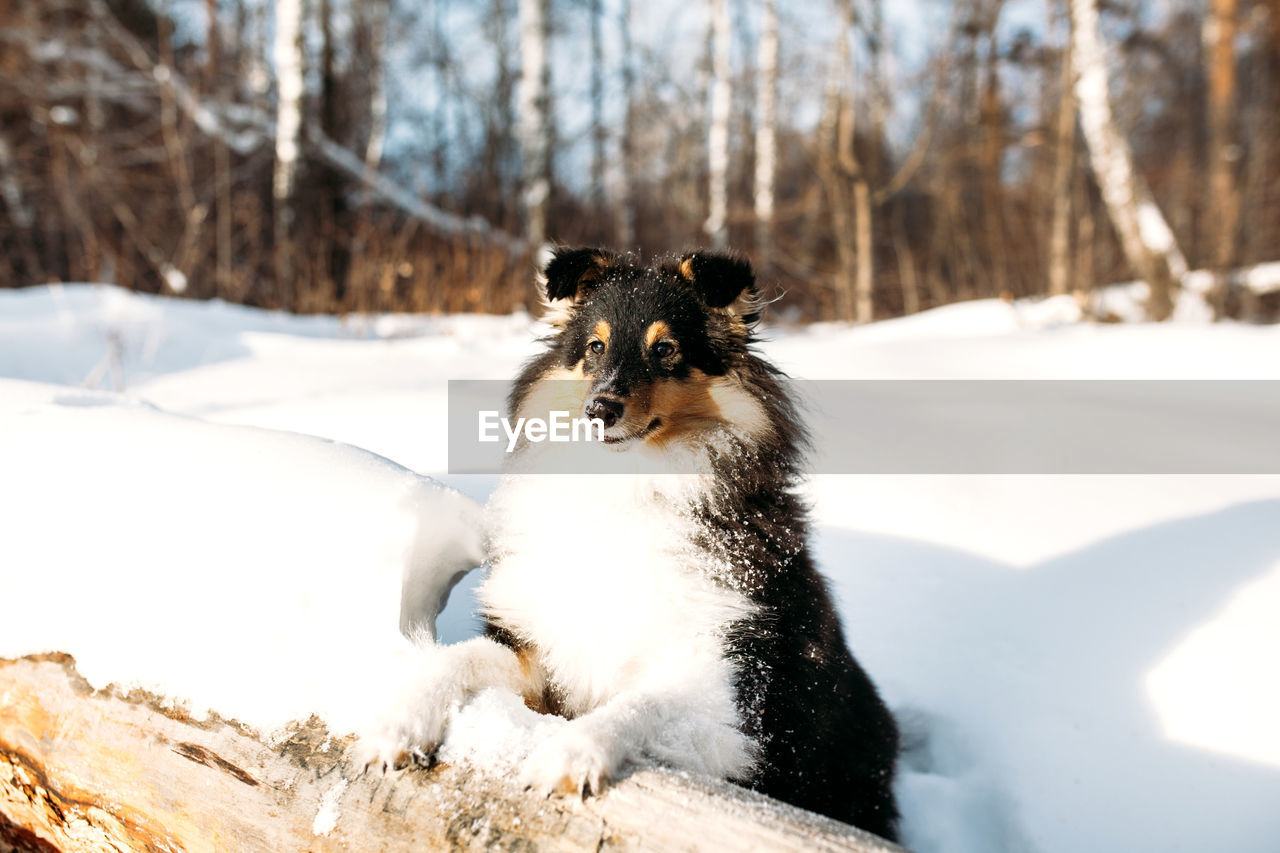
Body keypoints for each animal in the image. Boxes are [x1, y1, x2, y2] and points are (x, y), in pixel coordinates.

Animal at [360, 245, 901, 835]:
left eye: (665, 349)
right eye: (595, 346)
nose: (600, 410)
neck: (628, 486)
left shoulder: (732, 707)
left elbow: (638, 705)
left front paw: (568, 755)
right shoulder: (539, 657)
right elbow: (455, 660)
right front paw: (397, 722)